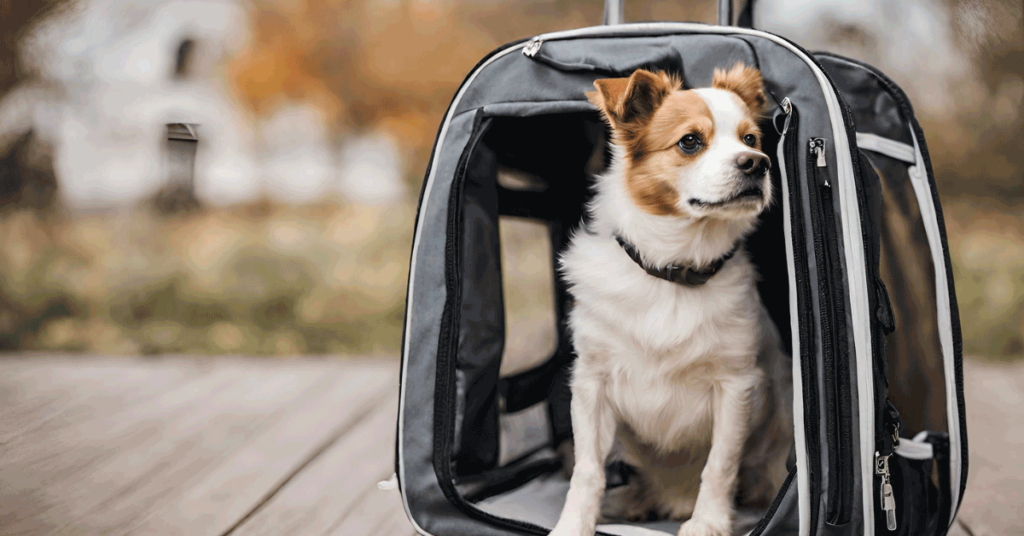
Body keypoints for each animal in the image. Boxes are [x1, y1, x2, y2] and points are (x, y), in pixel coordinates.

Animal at [548, 66, 794, 536]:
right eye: (690, 142)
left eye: (751, 139)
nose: (758, 163)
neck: (674, 271)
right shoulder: (592, 384)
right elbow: (587, 469)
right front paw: (572, 524)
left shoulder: (735, 387)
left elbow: (720, 465)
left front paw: (709, 522)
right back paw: (634, 502)